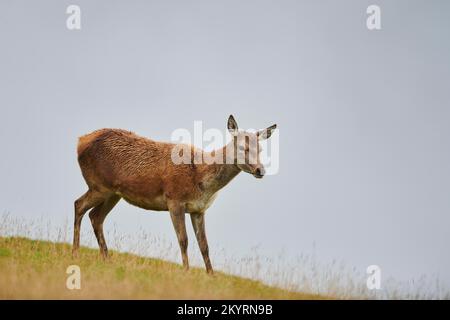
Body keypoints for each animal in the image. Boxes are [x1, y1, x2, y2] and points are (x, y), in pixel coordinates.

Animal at [73, 116, 276, 274]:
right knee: (79, 205)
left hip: (113, 193)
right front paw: (186, 271)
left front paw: (211, 275)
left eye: (261, 149)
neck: (202, 181)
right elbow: (183, 240)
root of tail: (80, 141)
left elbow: (204, 245)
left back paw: (106, 258)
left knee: (95, 216)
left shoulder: (199, 210)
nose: (260, 170)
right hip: (99, 184)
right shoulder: (174, 200)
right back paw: (75, 251)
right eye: (242, 147)